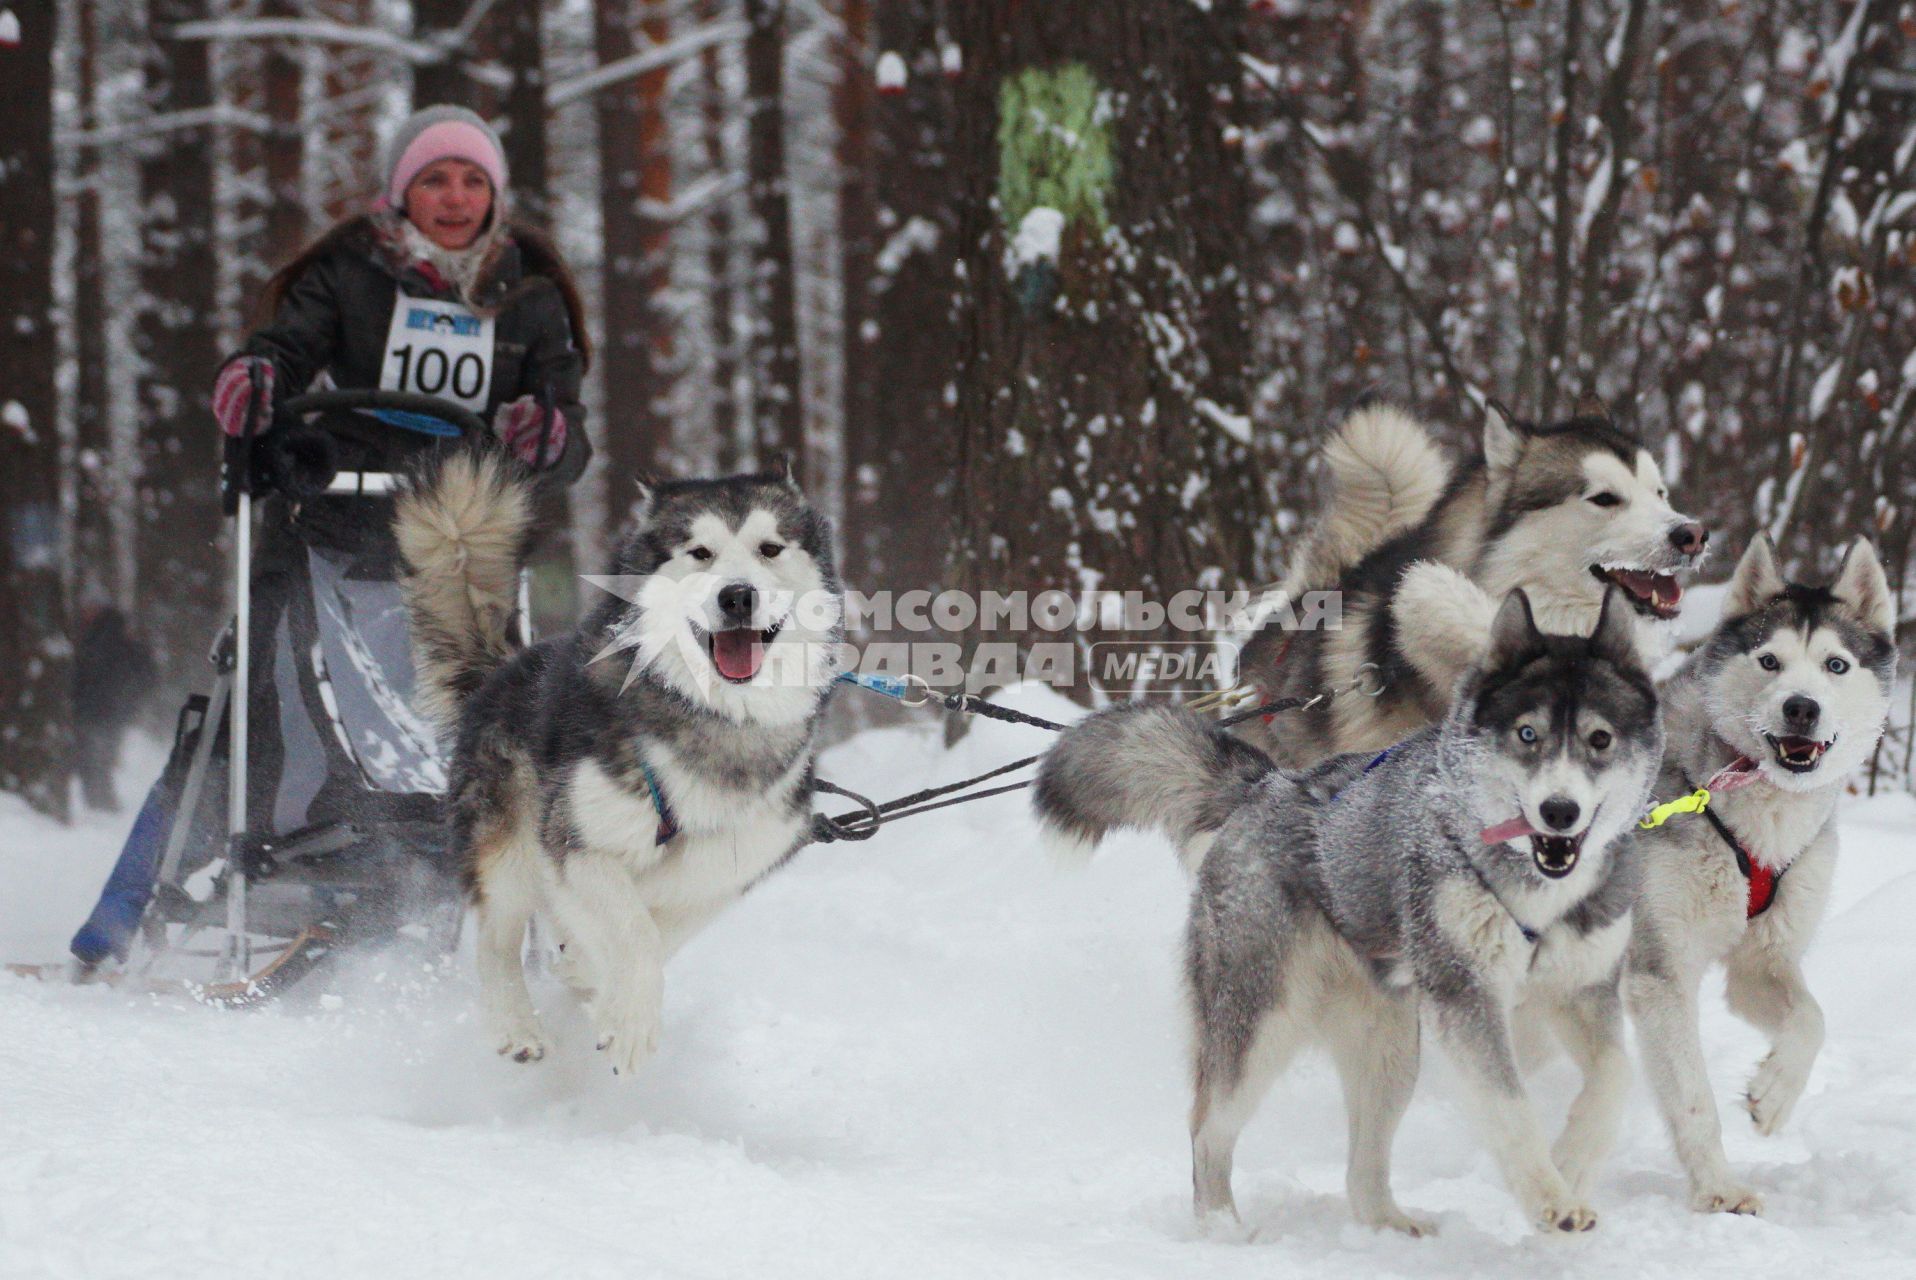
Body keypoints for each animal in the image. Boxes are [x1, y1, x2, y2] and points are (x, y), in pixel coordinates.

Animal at [392, 450, 843, 1073]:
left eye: (770, 548)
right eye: (699, 552)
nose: (737, 596)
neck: (715, 718)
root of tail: (503, 671)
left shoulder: (734, 863)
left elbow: (666, 928)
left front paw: (594, 983)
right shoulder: (576, 841)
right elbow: (636, 931)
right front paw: (628, 1021)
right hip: (509, 845)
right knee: (497, 938)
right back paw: (516, 1024)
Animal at [1034, 586, 1663, 1234]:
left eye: (1600, 739)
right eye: (1528, 734)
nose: (1559, 811)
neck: (1534, 886)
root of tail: (1269, 785)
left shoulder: (1583, 990)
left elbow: (1616, 1076)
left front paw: (1574, 1162)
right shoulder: (1467, 997)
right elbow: (1510, 1107)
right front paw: (1550, 1198)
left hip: (1391, 1050)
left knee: (1362, 1168)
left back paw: (1389, 1224)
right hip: (1262, 1024)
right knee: (1208, 1129)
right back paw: (1221, 1229)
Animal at [1624, 536, 1893, 1218]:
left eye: (1835, 665)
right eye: (1770, 661)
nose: (1801, 706)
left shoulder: (1763, 962)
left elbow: (1811, 1019)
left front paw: (1774, 1093)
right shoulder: (1659, 970)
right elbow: (1693, 1098)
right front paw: (1718, 1189)